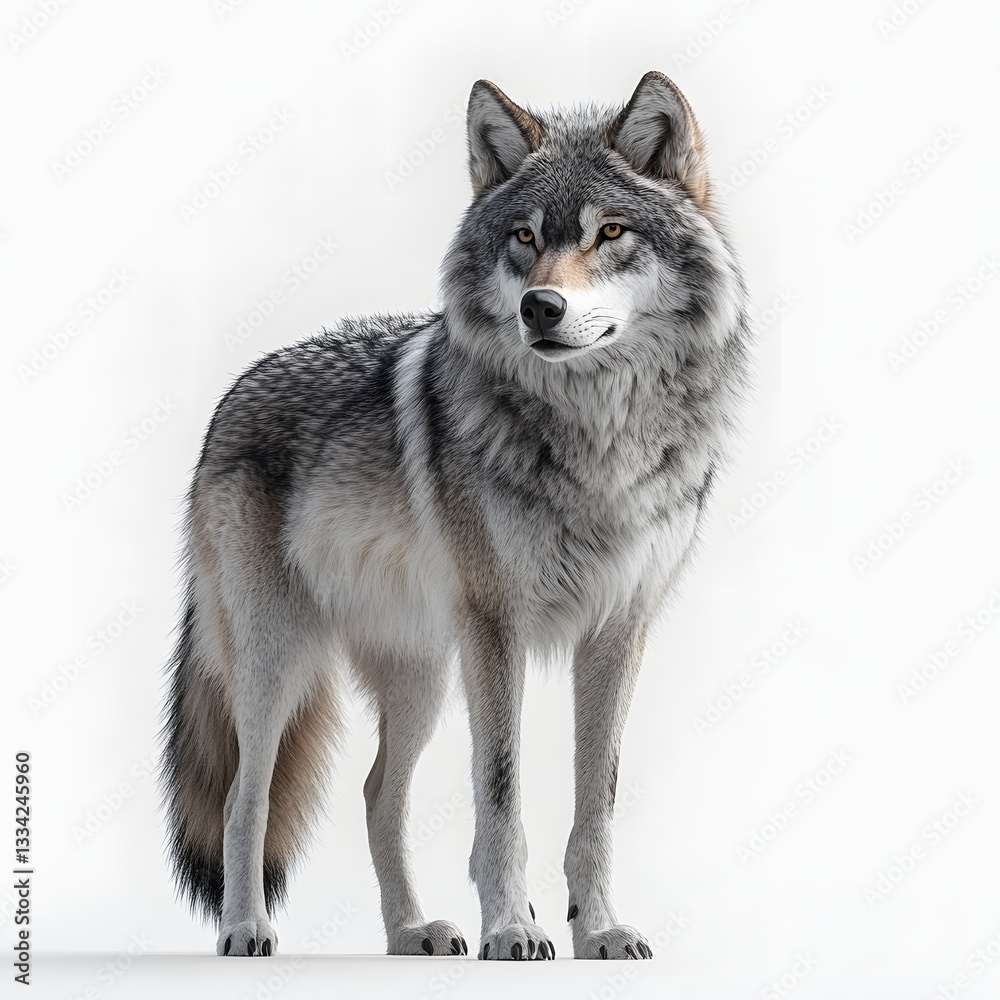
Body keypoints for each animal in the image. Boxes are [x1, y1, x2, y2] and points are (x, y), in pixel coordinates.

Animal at [160, 71, 751, 961]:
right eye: (523, 236)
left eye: (610, 232)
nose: (541, 307)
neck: (598, 441)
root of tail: (232, 395)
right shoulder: (496, 628)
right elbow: (501, 795)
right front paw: (512, 927)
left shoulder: (618, 629)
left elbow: (597, 805)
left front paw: (599, 930)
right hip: (280, 664)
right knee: (243, 796)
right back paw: (246, 929)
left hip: (423, 676)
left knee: (377, 795)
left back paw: (411, 931)